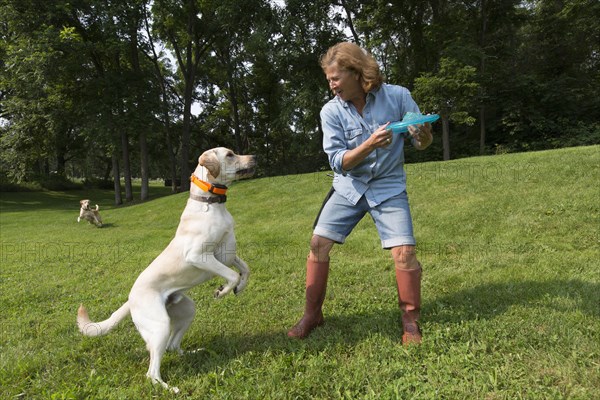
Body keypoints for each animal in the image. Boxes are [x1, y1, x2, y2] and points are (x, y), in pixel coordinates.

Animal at [76, 147, 254, 390]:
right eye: (229, 154)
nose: (255, 157)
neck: (211, 203)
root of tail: (130, 298)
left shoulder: (227, 254)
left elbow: (244, 270)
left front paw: (238, 288)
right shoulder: (199, 256)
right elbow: (232, 275)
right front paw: (223, 291)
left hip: (187, 311)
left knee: (172, 346)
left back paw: (191, 353)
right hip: (160, 326)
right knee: (151, 372)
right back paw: (169, 387)